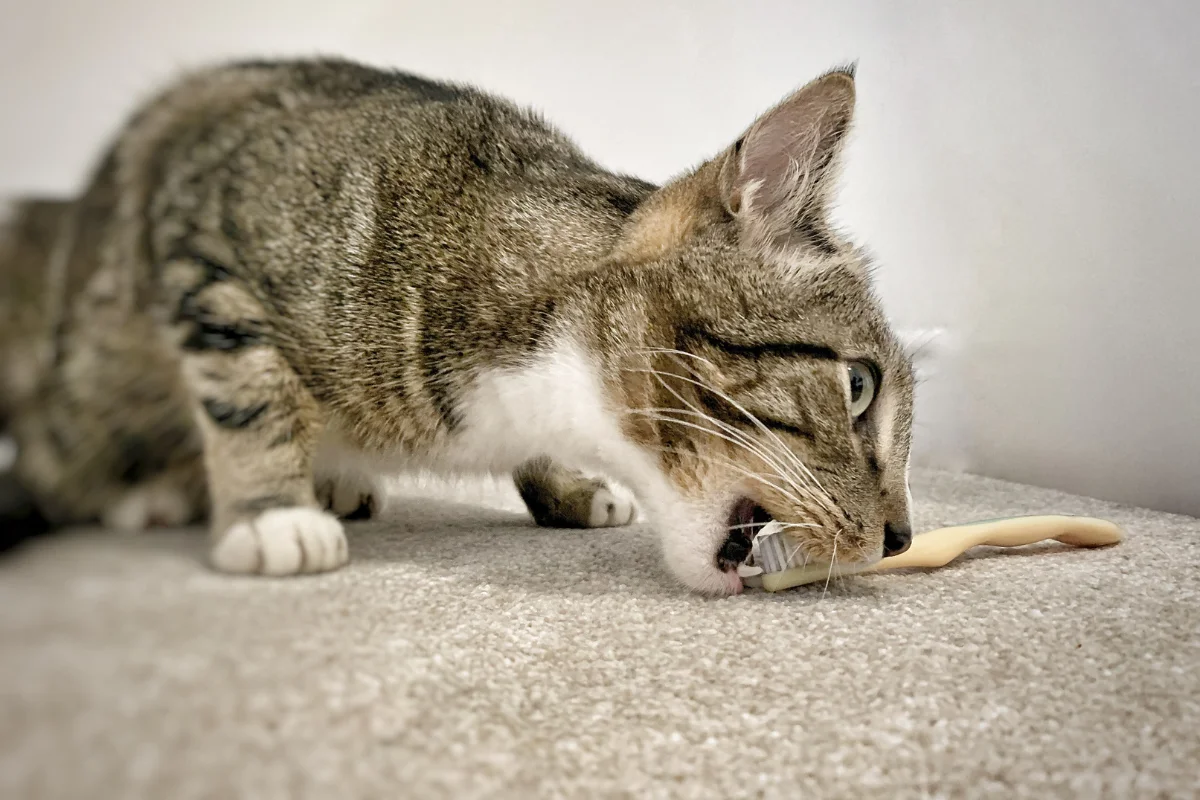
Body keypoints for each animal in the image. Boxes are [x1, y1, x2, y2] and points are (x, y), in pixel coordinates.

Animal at [0, 59, 912, 594]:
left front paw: (567, 486)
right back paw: (150, 492)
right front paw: (269, 509)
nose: (902, 536)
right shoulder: (203, 233)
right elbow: (254, 390)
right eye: (859, 387)